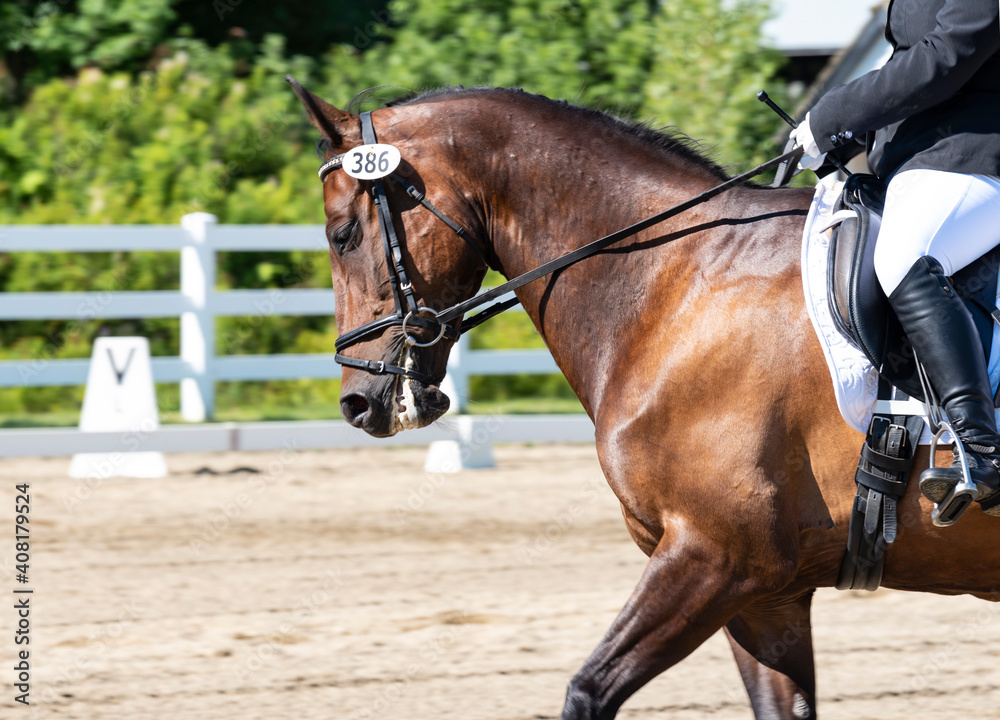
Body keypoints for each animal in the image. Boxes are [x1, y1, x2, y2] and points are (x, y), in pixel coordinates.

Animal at [287, 80, 1000, 720]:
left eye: (343, 234)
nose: (358, 402)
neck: (677, 284)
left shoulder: (717, 555)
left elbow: (586, 693)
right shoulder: (768, 596)